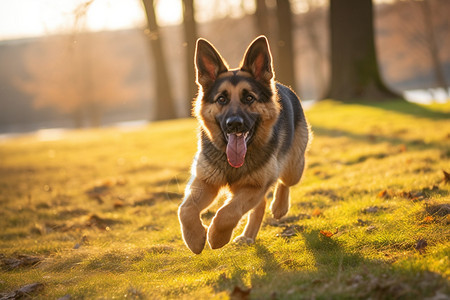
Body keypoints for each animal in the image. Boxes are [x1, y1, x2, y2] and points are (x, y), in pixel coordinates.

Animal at [178, 36, 310, 254]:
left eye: (249, 98)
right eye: (221, 99)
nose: (234, 124)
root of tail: (281, 85)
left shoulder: (253, 186)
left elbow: (228, 212)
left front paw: (216, 237)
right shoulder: (205, 181)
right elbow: (185, 209)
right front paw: (195, 239)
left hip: (293, 168)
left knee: (283, 182)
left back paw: (279, 206)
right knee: (261, 204)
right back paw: (248, 235)